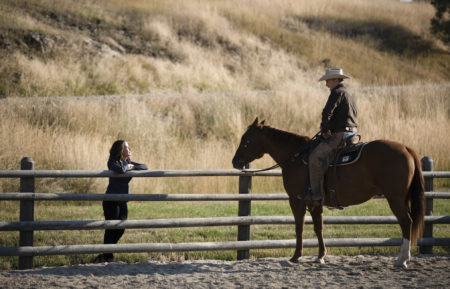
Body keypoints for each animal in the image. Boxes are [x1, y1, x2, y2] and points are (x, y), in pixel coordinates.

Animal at [232, 117, 426, 268]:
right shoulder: (315, 202)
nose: (235, 161)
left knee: (406, 222)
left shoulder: (296, 200)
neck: (296, 157)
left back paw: (402, 259)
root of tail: (406, 148)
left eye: (246, 140)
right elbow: (319, 227)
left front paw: (296, 256)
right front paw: (320, 256)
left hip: (395, 198)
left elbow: (299, 227)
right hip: (403, 198)